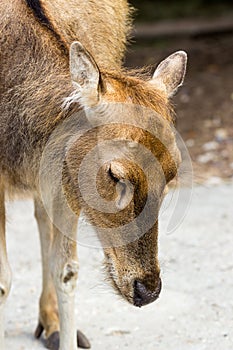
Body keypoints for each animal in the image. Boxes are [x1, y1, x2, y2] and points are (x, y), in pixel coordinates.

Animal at [0, 0, 187, 350]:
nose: (147, 289)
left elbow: (67, 270)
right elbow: (4, 279)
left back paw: (51, 323)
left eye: (172, 173)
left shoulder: (64, 173)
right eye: (115, 174)